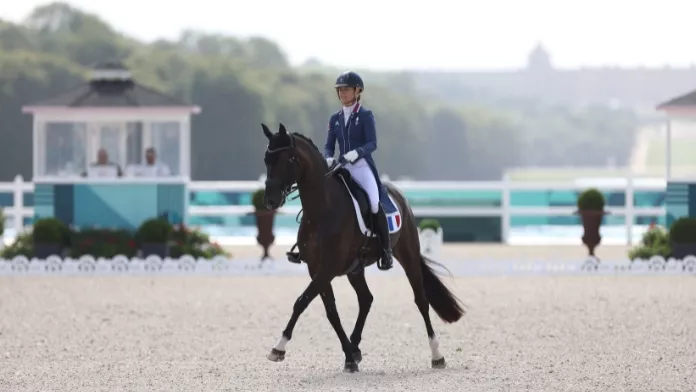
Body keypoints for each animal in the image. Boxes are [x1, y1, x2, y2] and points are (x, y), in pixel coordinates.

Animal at [258, 124, 464, 372]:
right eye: (266, 158)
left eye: (288, 159)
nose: (270, 200)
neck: (322, 210)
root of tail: (398, 194)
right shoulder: (317, 268)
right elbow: (331, 312)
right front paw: (348, 356)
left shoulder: (327, 268)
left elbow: (302, 301)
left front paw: (279, 347)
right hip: (355, 269)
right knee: (366, 299)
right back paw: (355, 348)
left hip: (409, 255)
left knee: (421, 301)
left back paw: (437, 355)